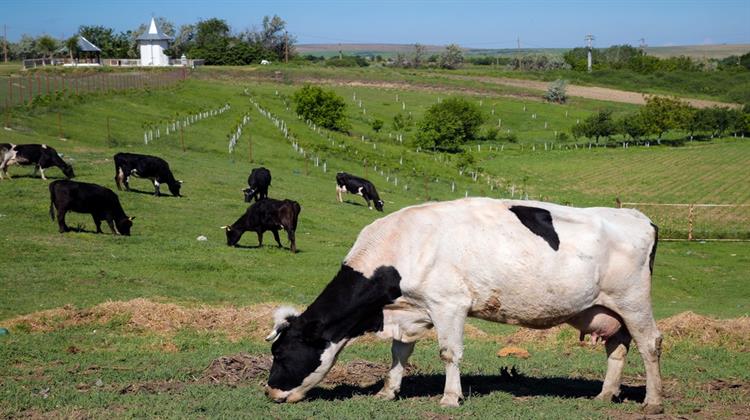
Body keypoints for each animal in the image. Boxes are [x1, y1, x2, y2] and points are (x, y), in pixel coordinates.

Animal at [268, 198, 668, 414]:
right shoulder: (410, 310)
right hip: (609, 310)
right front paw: (387, 390)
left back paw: (653, 401)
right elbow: (399, 352)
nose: (270, 392)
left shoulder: (449, 303)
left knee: (650, 344)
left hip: (633, 301)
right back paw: (605, 394)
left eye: (282, 353)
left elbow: (449, 353)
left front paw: (450, 398)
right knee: (618, 348)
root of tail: (638, 216)